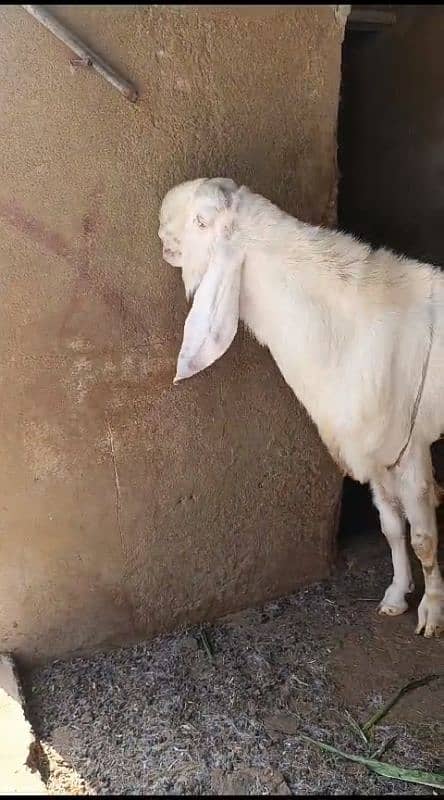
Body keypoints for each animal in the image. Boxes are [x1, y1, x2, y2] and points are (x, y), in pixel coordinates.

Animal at [158, 175, 442, 636]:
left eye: (201, 221)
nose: (161, 230)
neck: (354, 327)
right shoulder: (374, 450)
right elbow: (391, 528)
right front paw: (396, 596)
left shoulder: (412, 449)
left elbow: (424, 539)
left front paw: (431, 615)